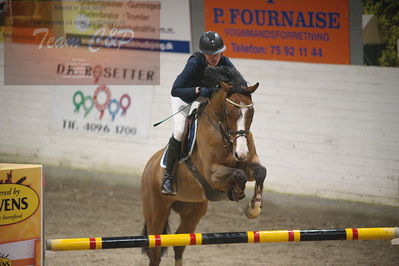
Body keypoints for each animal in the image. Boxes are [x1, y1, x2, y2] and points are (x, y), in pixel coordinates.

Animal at [141, 65, 268, 264]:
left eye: (251, 112)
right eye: (229, 112)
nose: (240, 153)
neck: (225, 136)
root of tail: (149, 165)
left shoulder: (250, 163)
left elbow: (261, 171)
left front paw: (253, 208)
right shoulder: (212, 174)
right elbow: (238, 175)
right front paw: (236, 193)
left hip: (192, 212)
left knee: (179, 244)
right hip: (156, 212)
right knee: (155, 253)